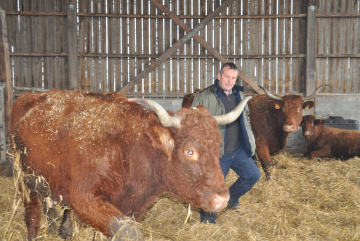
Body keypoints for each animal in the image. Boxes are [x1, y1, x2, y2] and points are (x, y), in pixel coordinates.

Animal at [11, 89, 253, 240]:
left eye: (218, 144)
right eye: (190, 151)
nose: (222, 198)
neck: (130, 149)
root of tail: (29, 96)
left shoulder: (132, 208)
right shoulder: (85, 198)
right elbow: (128, 232)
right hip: (26, 182)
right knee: (32, 217)